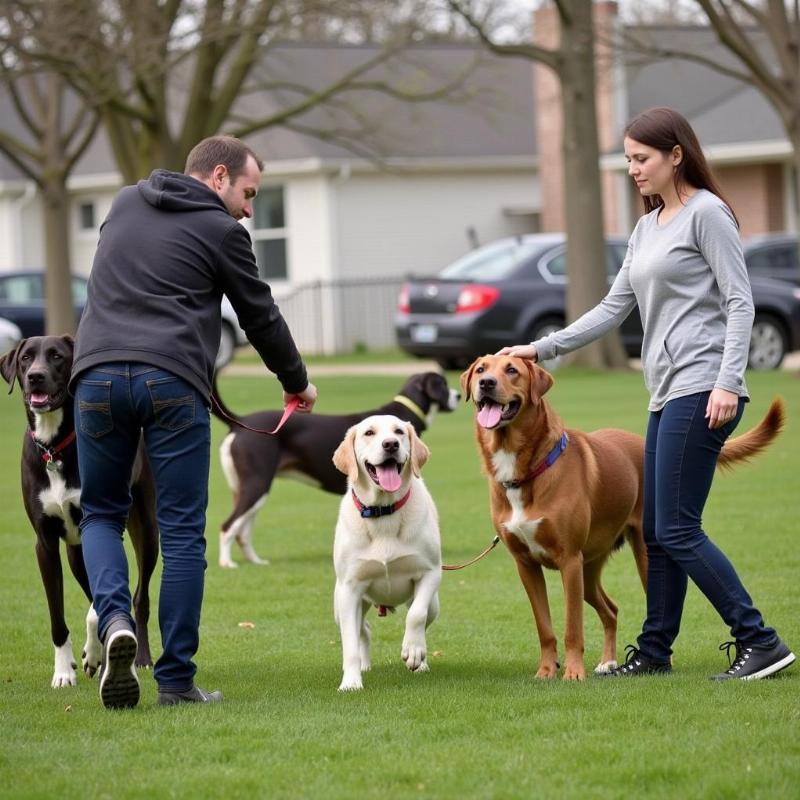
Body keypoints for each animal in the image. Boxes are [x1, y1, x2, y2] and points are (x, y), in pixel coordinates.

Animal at [0, 336, 159, 688]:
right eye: (26, 358)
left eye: (57, 356)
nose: (36, 376)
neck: (54, 446)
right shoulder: (45, 543)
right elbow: (58, 617)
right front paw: (63, 671)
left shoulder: (97, 526)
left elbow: (100, 604)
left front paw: (96, 654)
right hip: (74, 553)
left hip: (147, 529)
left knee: (139, 598)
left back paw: (136, 658)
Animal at [462, 356, 780, 680]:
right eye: (481, 369)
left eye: (512, 370)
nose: (486, 383)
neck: (525, 468)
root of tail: (647, 444)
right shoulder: (526, 565)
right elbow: (545, 628)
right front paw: (547, 670)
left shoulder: (568, 560)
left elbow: (572, 627)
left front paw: (573, 673)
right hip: (588, 571)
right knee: (611, 609)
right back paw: (609, 661)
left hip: (640, 557)